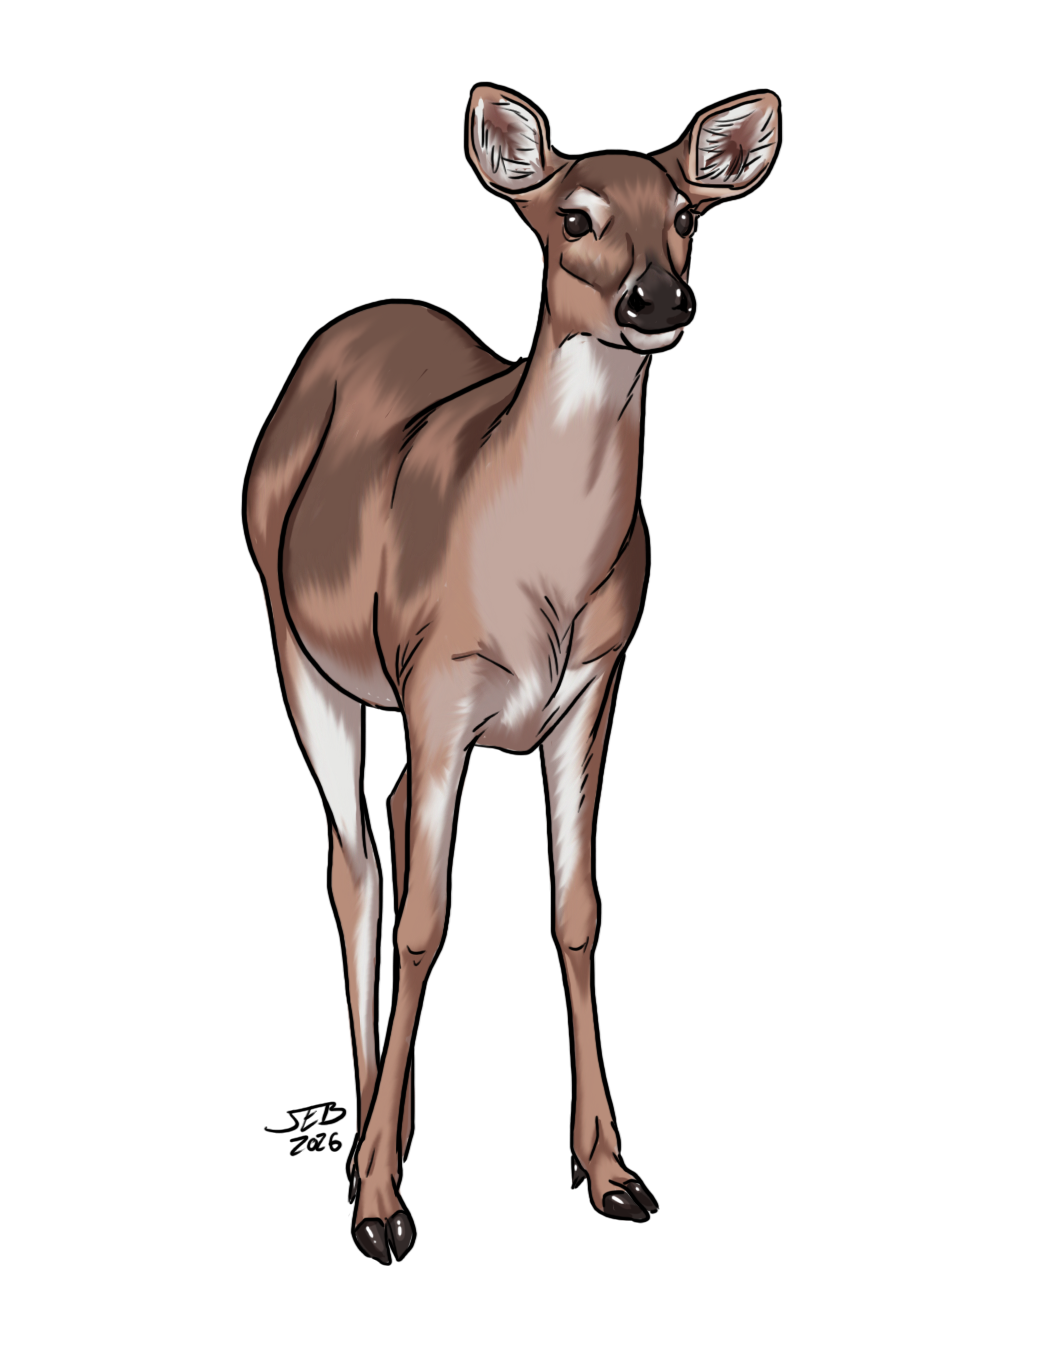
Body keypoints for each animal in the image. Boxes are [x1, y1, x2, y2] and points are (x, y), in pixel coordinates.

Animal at [242, 83, 782, 1265]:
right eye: (573, 217)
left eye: (686, 213)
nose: (658, 298)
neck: (536, 572)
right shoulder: (438, 684)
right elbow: (424, 920)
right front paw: (380, 1206)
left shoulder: (595, 683)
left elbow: (576, 907)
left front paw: (611, 1170)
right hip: (299, 645)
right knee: (354, 863)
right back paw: (364, 1151)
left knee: (386, 823)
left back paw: (388, 1129)